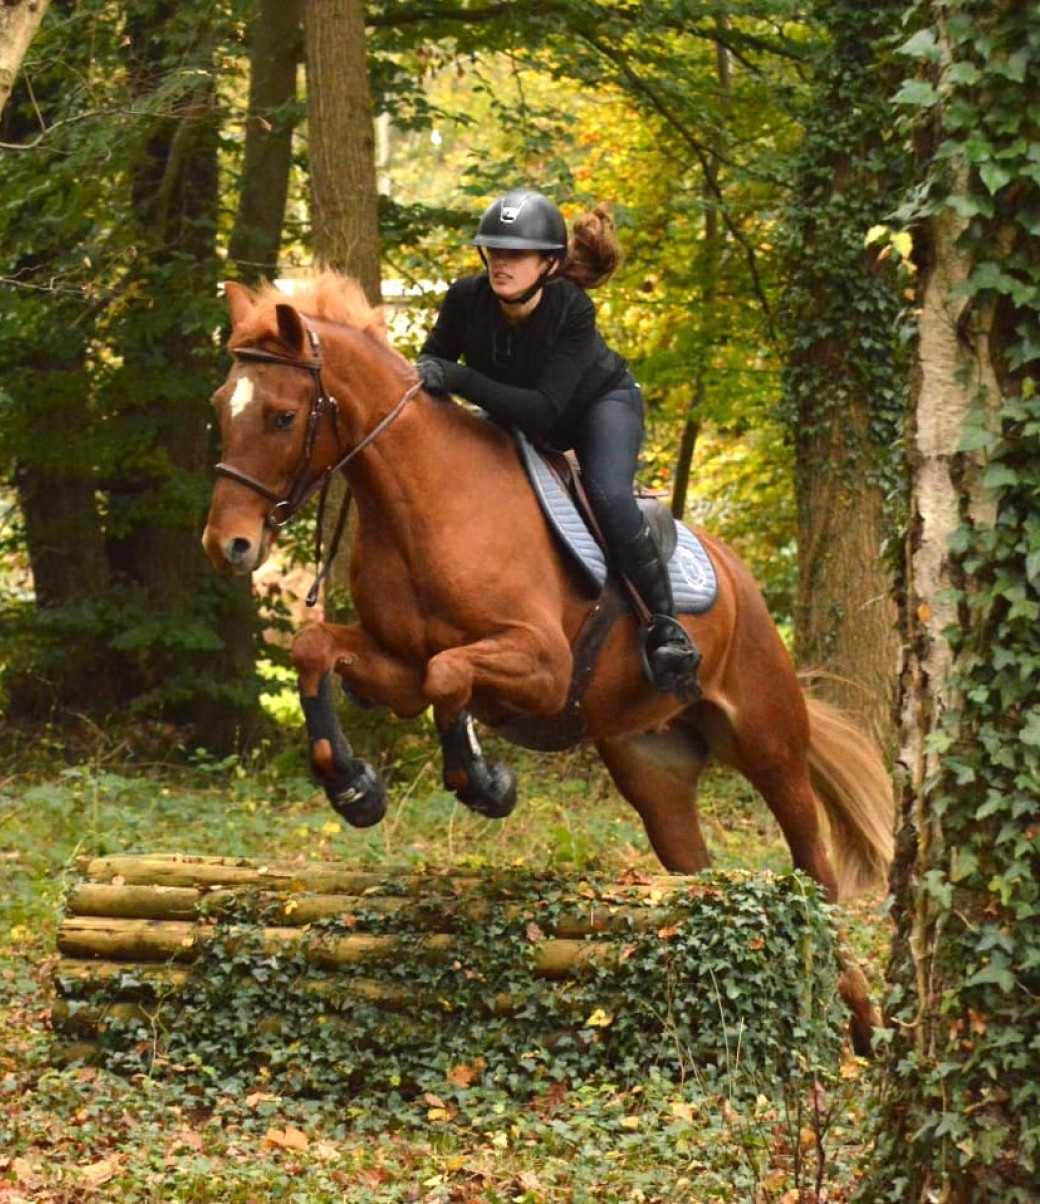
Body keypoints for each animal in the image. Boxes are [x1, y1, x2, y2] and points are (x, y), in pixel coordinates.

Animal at [201, 271, 894, 1054]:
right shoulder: (399, 666)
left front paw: (486, 783)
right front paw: (355, 788)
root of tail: (739, 577)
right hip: (655, 771)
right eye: (220, 409)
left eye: (283, 416)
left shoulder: (543, 666)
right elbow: (327, 651)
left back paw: (862, 1020)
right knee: (698, 868)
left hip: (769, 742)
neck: (424, 501)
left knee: (816, 869)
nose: (227, 545)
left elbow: (450, 675)